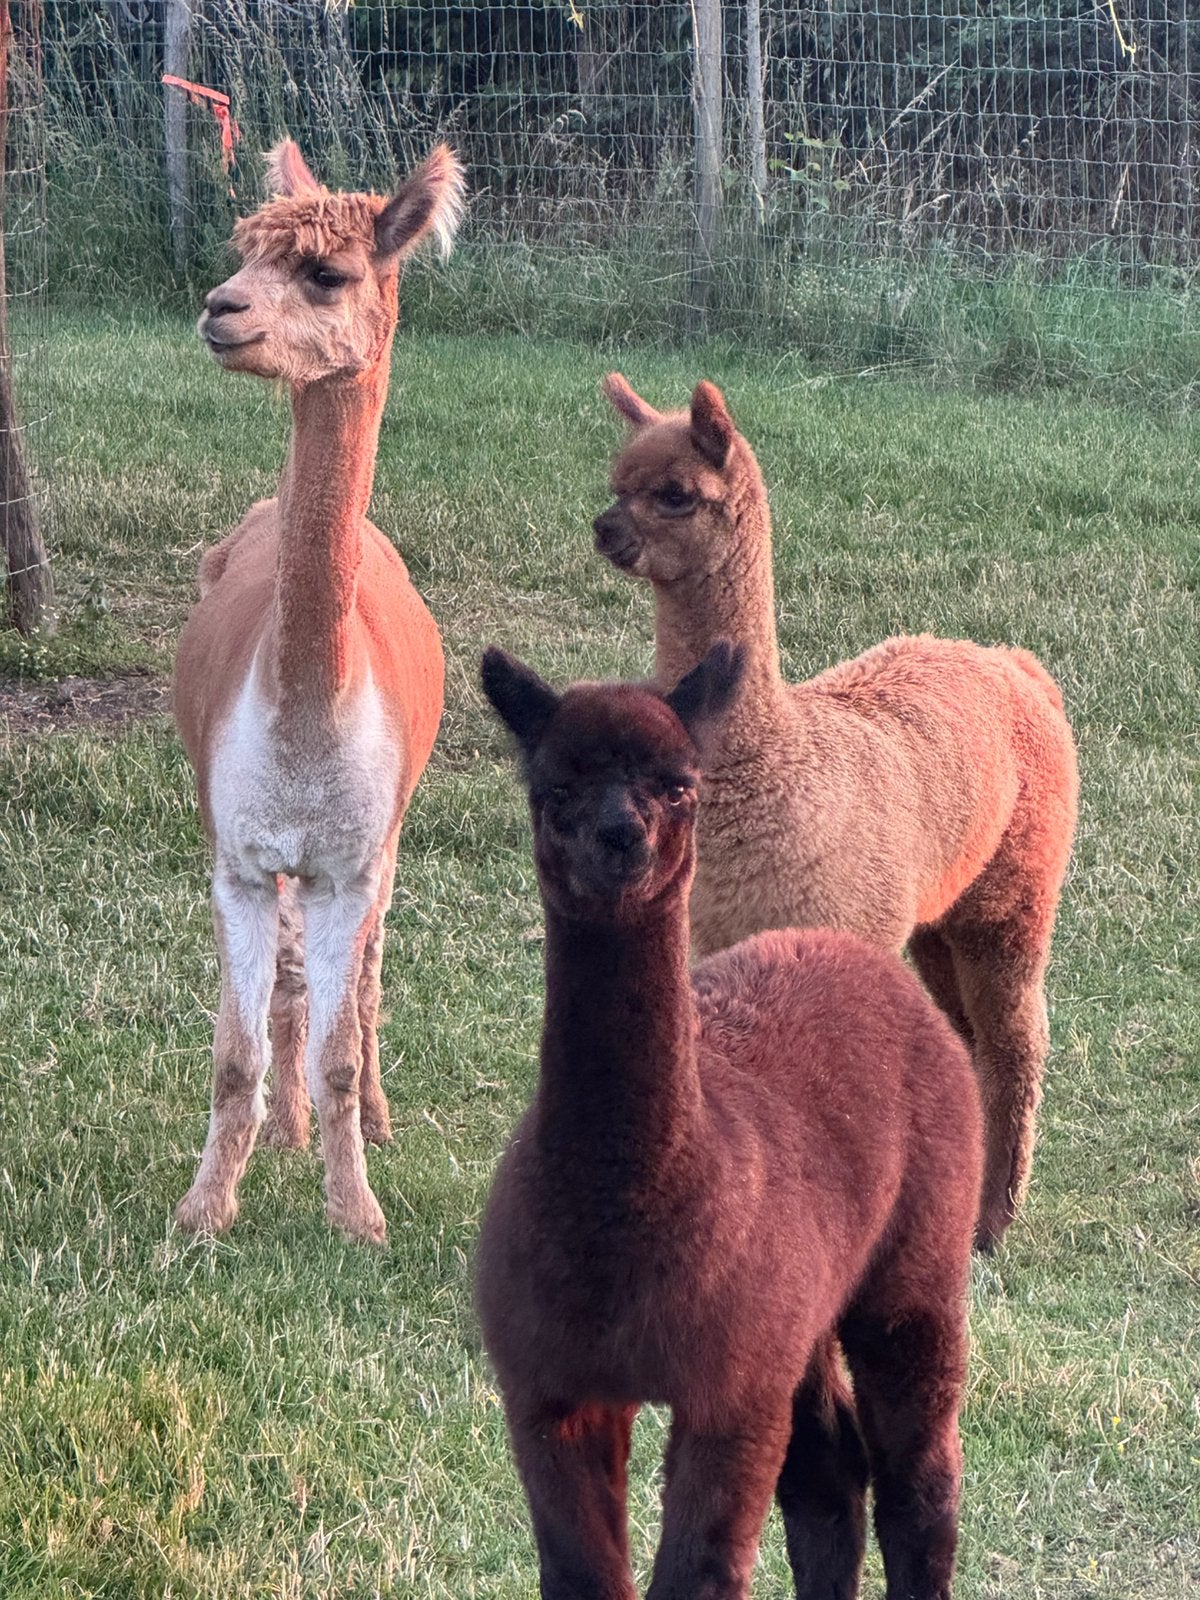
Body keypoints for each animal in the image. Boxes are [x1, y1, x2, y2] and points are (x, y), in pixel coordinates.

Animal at [475, 641, 983, 1600]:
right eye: (553, 787)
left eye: (679, 785)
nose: (621, 837)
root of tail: (853, 951)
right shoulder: (550, 1389)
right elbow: (582, 1575)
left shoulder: (728, 1390)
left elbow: (699, 1573)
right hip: (799, 1308)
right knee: (831, 1475)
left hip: (919, 1257)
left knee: (919, 1480)